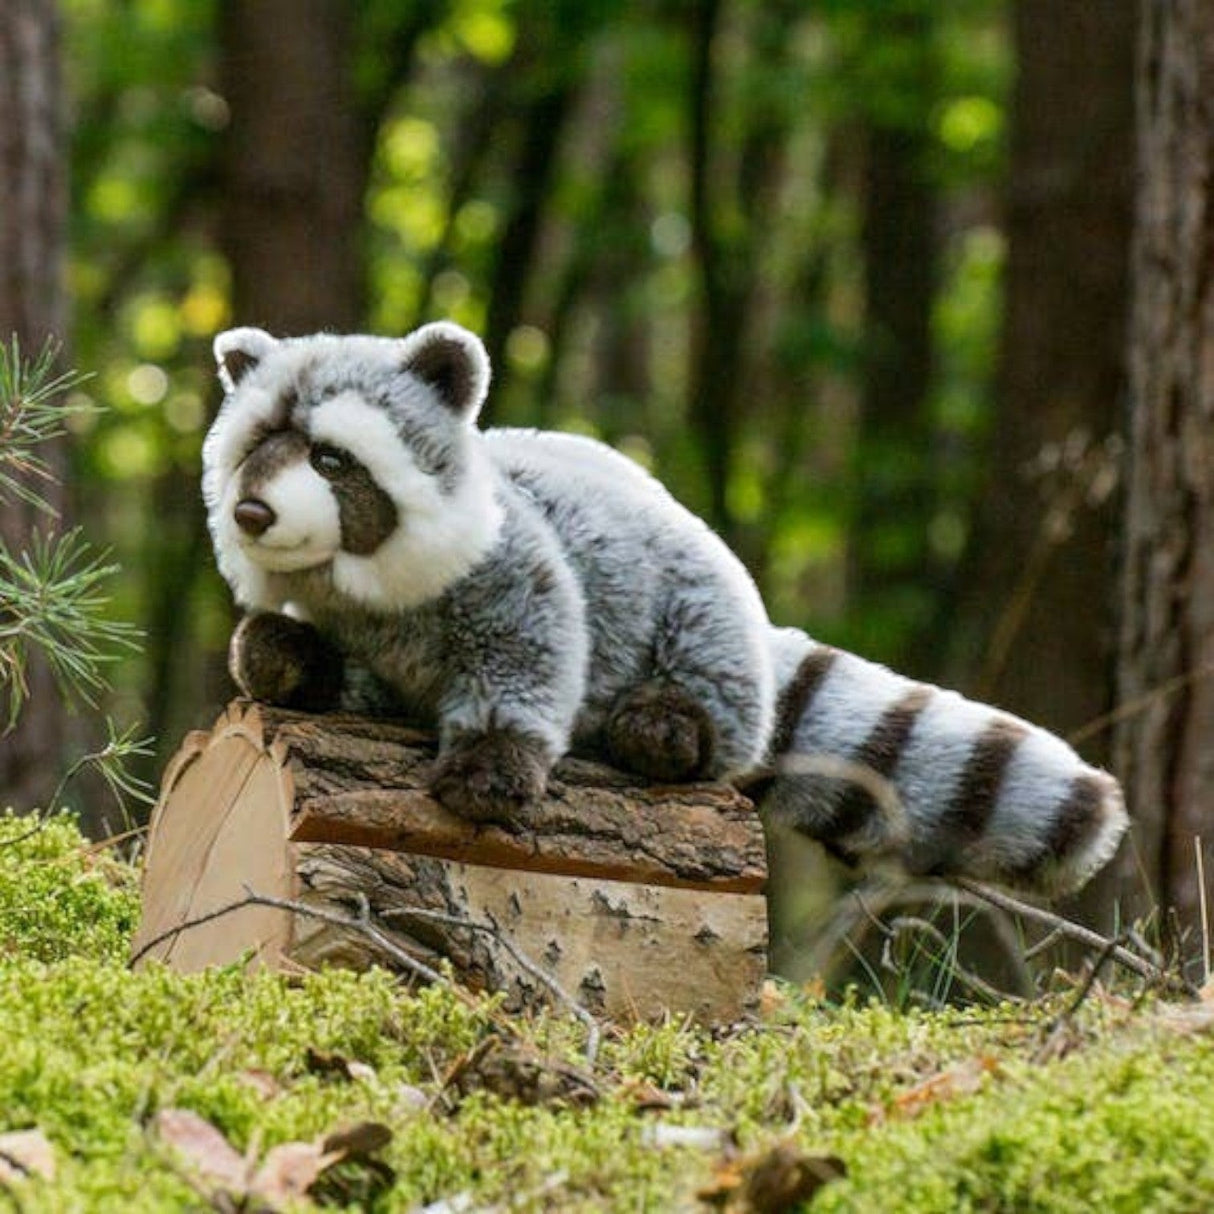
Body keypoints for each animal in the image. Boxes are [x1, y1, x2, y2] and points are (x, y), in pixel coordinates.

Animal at [203, 322, 775, 822]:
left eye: (329, 460)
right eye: (255, 449)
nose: (250, 513)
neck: (365, 582)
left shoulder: (509, 567)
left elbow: (525, 658)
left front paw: (490, 765)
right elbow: (322, 669)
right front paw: (283, 654)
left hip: (695, 594)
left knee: (717, 674)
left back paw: (666, 725)